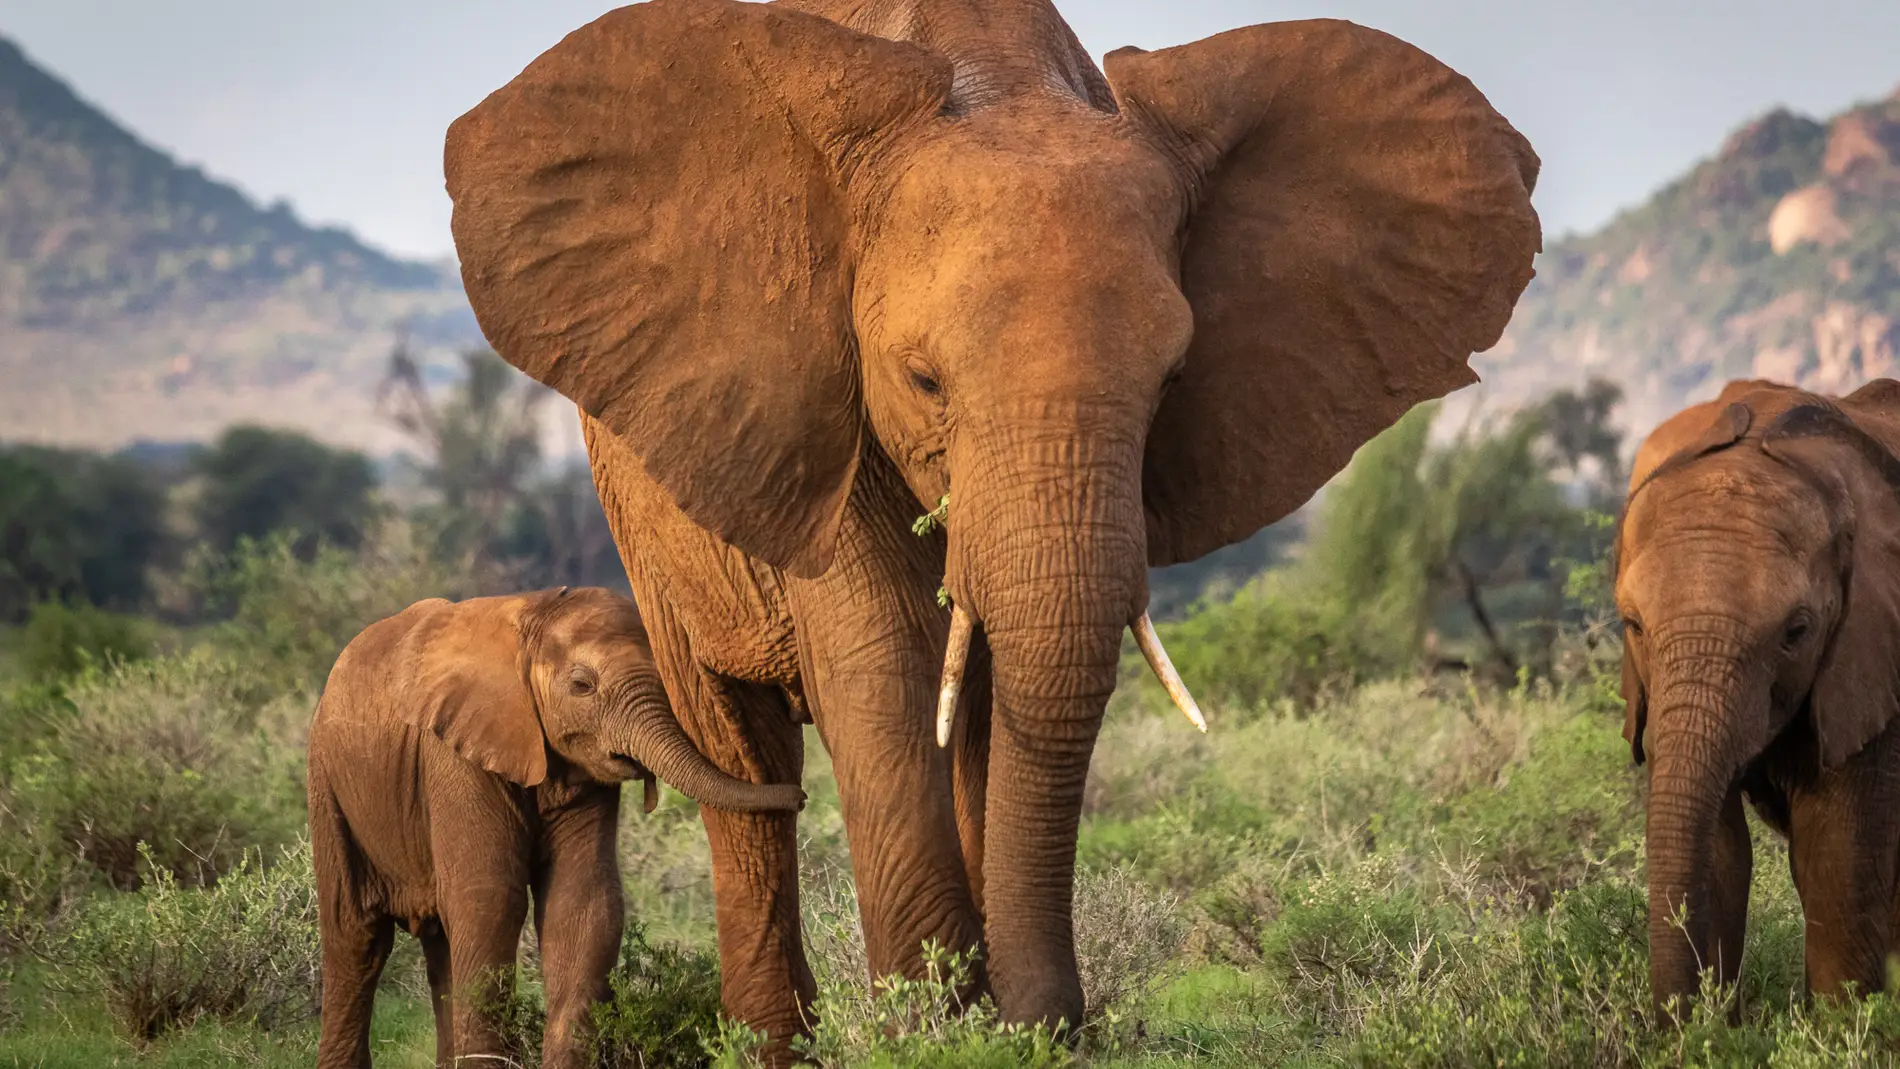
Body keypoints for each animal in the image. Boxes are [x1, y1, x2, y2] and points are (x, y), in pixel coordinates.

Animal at [311, 584, 801, 1069]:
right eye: (582, 686)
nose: (799, 795)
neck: (535, 611)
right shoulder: (453, 756)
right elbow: (489, 899)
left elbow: (580, 900)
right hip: (328, 785)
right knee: (355, 939)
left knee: (438, 948)